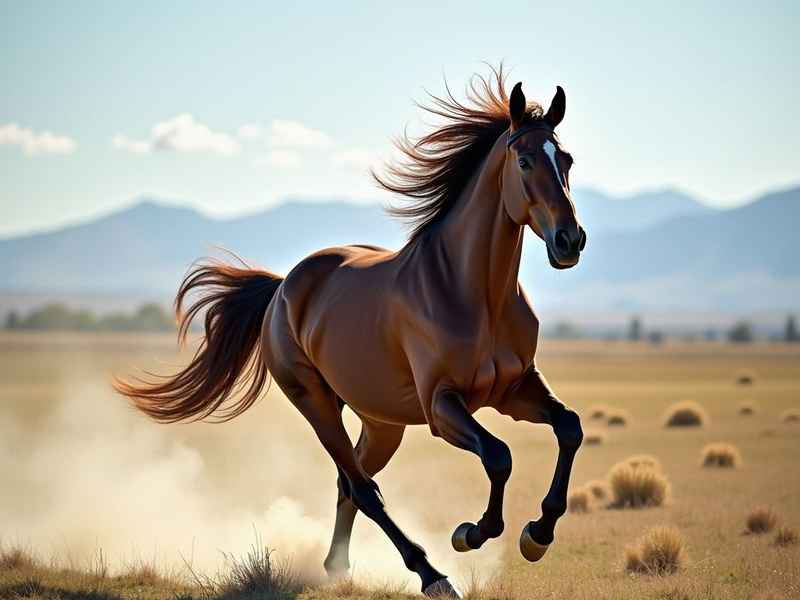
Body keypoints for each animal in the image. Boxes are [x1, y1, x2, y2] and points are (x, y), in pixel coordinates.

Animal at [114, 67, 586, 599]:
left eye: (566, 159)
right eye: (524, 160)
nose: (570, 241)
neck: (473, 294)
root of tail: (284, 287)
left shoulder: (515, 388)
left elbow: (569, 427)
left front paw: (537, 534)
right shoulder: (442, 406)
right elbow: (499, 456)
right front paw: (471, 533)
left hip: (382, 423)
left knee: (350, 482)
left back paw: (338, 565)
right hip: (317, 403)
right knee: (363, 487)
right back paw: (431, 574)